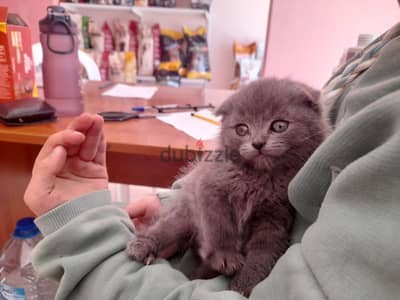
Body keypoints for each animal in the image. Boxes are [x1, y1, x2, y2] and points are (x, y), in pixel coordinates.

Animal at [126, 77, 330, 296]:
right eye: (242, 129)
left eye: (279, 125)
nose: (258, 143)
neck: (259, 177)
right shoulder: (209, 188)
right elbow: (220, 226)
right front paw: (225, 256)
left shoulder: (275, 214)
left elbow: (265, 249)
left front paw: (245, 284)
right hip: (184, 216)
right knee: (165, 228)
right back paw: (142, 247)